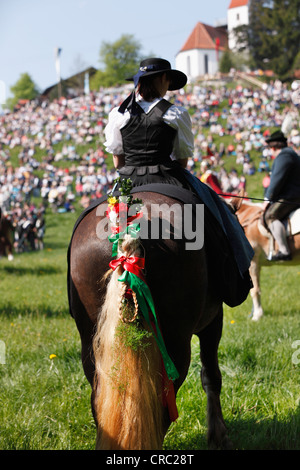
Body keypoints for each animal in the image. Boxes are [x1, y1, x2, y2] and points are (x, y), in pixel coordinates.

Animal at [67, 189, 240, 450]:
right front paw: (218, 435)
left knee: (99, 401)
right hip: (176, 343)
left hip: (91, 344)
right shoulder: (213, 322)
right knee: (163, 407)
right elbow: (211, 376)